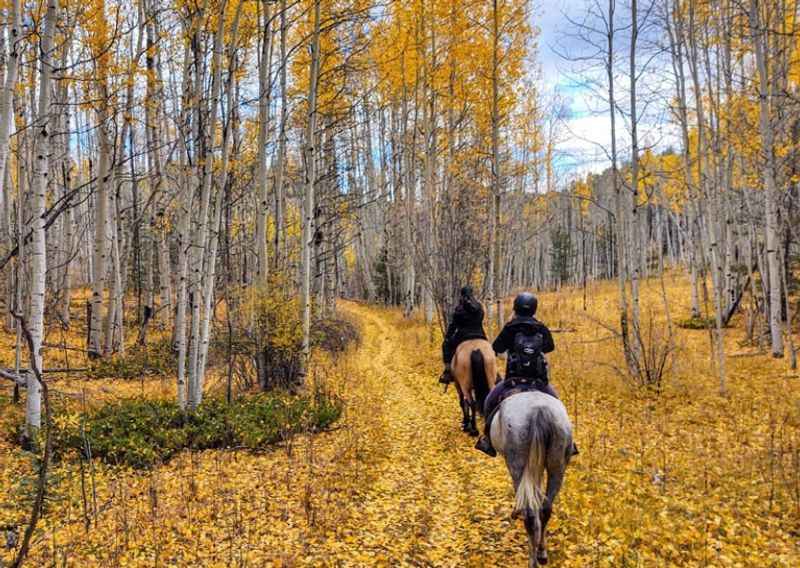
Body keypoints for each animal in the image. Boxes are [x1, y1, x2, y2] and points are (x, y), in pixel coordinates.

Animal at [490, 392, 572, 564]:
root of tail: (539, 411)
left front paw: (515, 511)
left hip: (518, 466)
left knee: (530, 515)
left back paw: (532, 560)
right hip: (557, 466)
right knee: (545, 508)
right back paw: (542, 553)